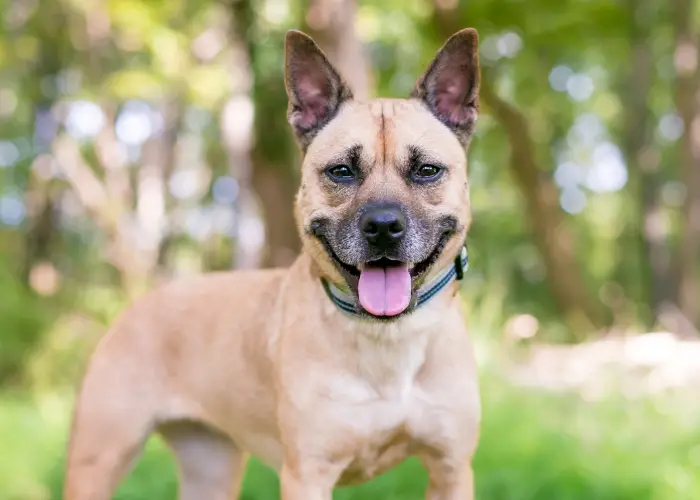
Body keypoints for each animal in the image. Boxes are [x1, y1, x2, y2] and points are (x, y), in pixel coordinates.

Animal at [64, 27, 482, 500]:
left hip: (210, 468)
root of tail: (140, 305)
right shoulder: (307, 475)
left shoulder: (451, 469)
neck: (388, 335)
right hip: (99, 459)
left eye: (427, 170)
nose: (382, 226)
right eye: (341, 171)